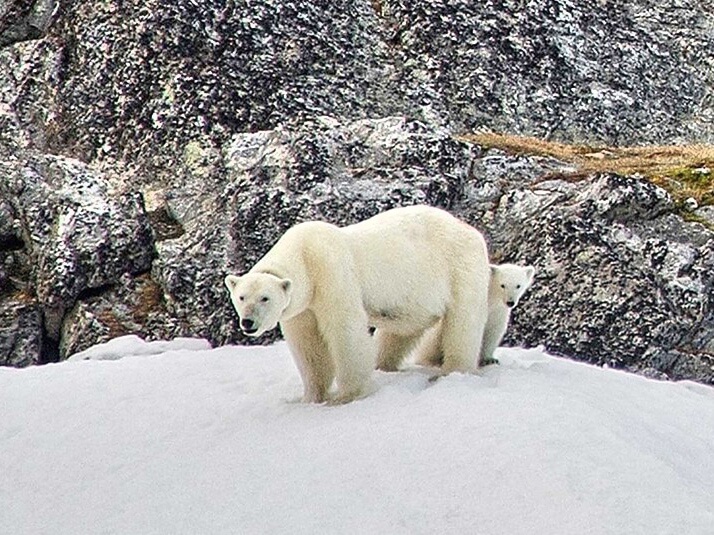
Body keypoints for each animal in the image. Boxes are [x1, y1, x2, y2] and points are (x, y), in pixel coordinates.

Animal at [224, 205, 491, 404]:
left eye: (265, 298)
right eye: (242, 297)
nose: (248, 322)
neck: (304, 255)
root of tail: (471, 230)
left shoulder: (331, 273)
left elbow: (345, 330)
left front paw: (348, 395)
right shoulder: (302, 306)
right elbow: (308, 345)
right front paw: (310, 397)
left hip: (460, 268)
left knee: (463, 323)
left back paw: (453, 370)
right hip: (416, 295)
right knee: (401, 331)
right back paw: (385, 365)